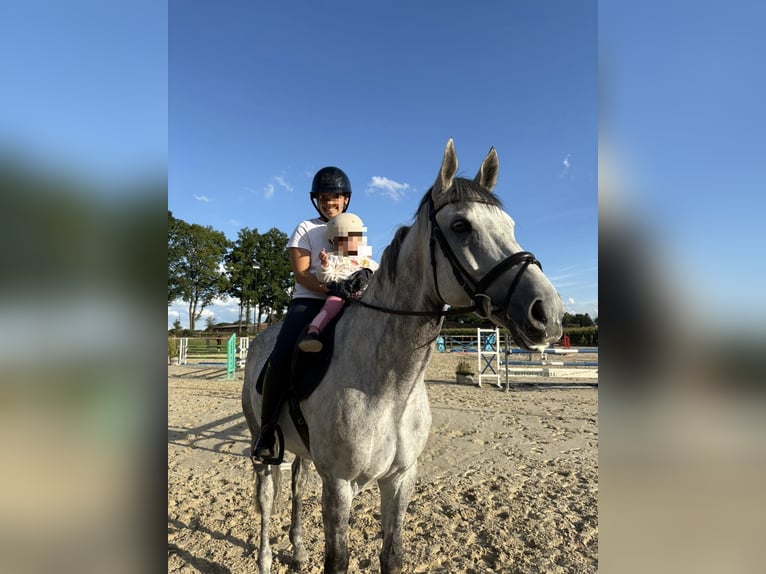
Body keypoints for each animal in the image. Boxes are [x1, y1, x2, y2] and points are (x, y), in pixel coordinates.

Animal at [241, 138, 564, 573]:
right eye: (461, 226)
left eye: (510, 226)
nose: (548, 313)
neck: (389, 388)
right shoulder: (339, 484)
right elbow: (337, 560)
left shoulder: (399, 478)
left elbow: (392, 555)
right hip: (261, 443)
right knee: (266, 495)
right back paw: (265, 558)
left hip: (305, 453)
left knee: (296, 482)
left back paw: (298, 549)